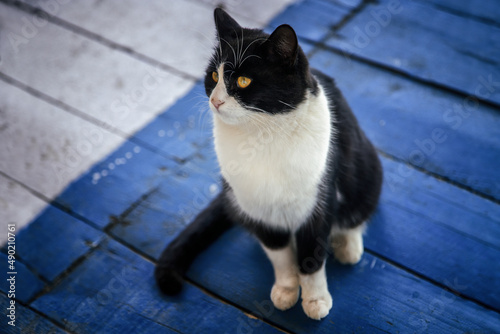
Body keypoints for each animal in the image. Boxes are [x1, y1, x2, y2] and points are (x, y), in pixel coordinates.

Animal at [156, 8, 382, 320]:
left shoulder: (319, 201)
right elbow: (280, 255)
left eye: (243, 81)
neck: (261, 137)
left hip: (367, 167)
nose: (215, 100)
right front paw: (286, 291)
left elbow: (311, 256)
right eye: (214, 75)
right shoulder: (258, 208)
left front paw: (315, 300)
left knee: (358, 211)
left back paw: (347, 246)